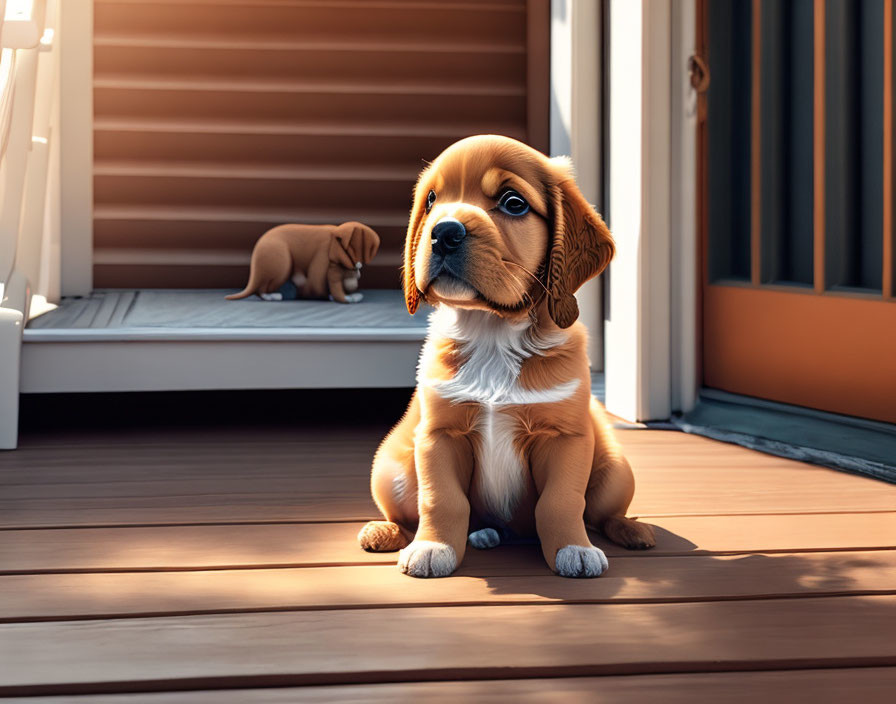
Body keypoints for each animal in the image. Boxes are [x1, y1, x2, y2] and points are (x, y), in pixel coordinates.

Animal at [356, 136, 656, 576]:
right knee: (407, 511)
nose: (443, 232)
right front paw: (433, 546)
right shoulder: (438, 436)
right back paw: (393, 532)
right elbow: (441, 499)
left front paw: (573, 548)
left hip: (616, 472)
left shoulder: (565, 438)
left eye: (514, 203)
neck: (492, 332)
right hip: (389, 469)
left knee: (604, 514)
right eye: (431, 200)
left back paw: (634, 531)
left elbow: (562, 502)